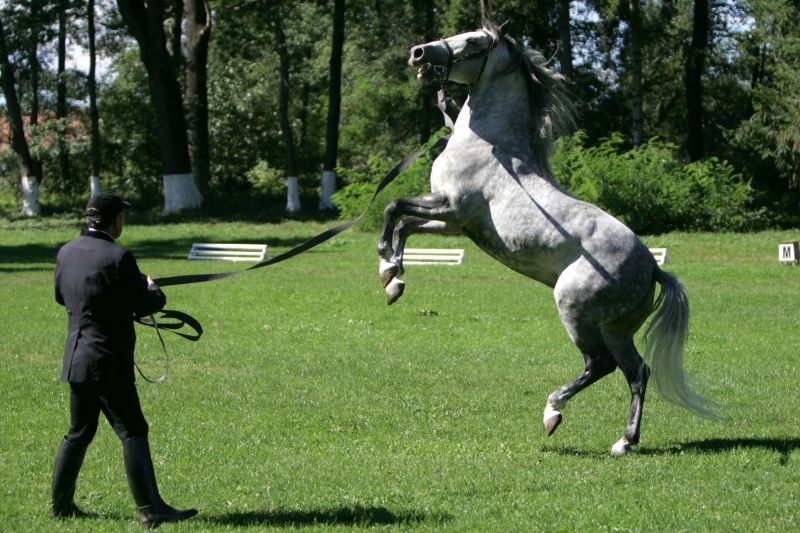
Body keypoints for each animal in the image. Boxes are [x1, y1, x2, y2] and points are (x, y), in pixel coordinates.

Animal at [376, 19, 720, 454]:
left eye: (472, 41)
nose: (419, 53)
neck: (490, 148)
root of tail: (652, 269)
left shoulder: (451, 207)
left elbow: (394, 208)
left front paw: (387, 264)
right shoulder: (454, 223)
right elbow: (403, 222)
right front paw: (392, 278)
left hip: (574, 310)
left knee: (600, 365)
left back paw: (553, 412)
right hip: (616, 328)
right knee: (637, 372)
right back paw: (623, 442)